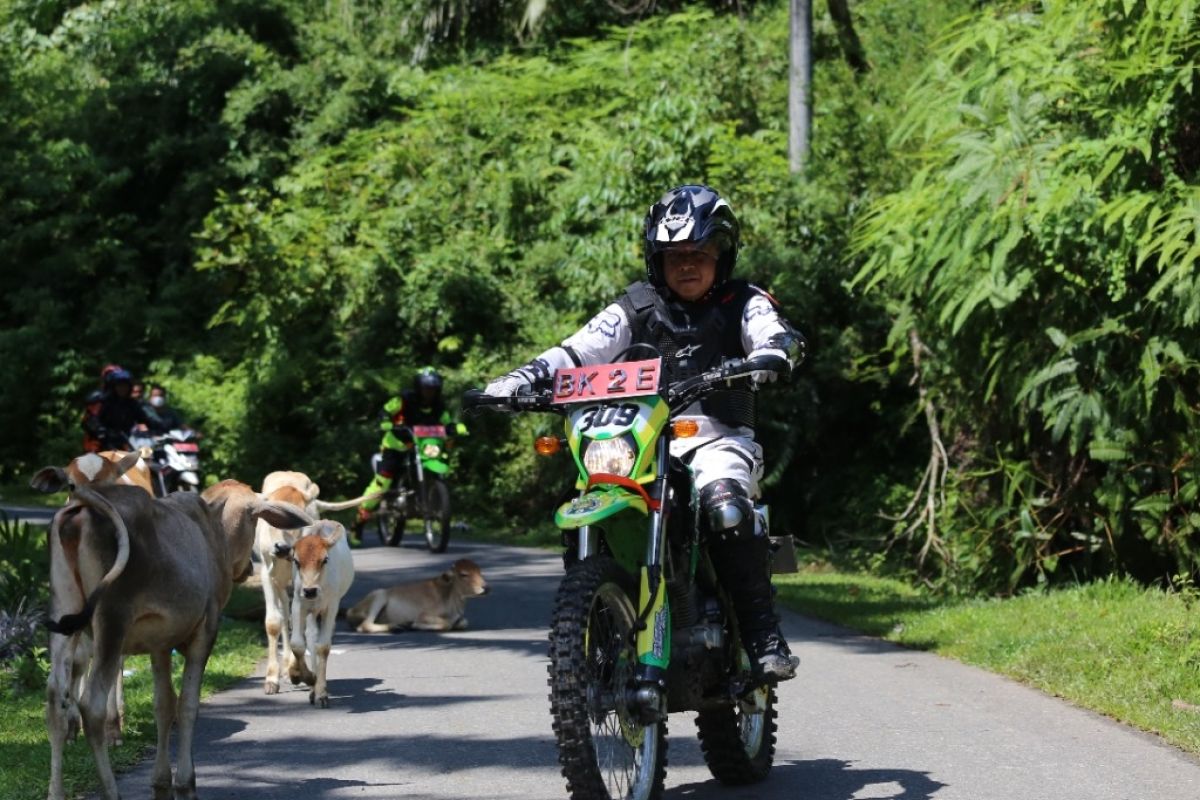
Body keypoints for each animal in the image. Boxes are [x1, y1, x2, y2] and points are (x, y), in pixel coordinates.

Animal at [35, 470, 312, 800]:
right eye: (254, 518)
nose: (247, 567)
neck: (214, 536)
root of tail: (82, 503)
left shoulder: (160, 643)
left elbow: (164, 705)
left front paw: (161, 782)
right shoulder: (205, 630)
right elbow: (188, 705)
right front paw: (185, 781)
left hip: (62, 611)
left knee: (55, 701)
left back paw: (55, 792)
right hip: (111, 620)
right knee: (91, 706)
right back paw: (112, 791)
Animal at [343, 561, 487, 633]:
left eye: (480, 571)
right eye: (464, 574)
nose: (486, 588)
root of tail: (350, 610)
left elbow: (463, 623)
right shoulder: (424, 615)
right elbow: (446, 624)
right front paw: (415, 625)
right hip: (380, 595)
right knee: (365, 626)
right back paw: (397, 626)